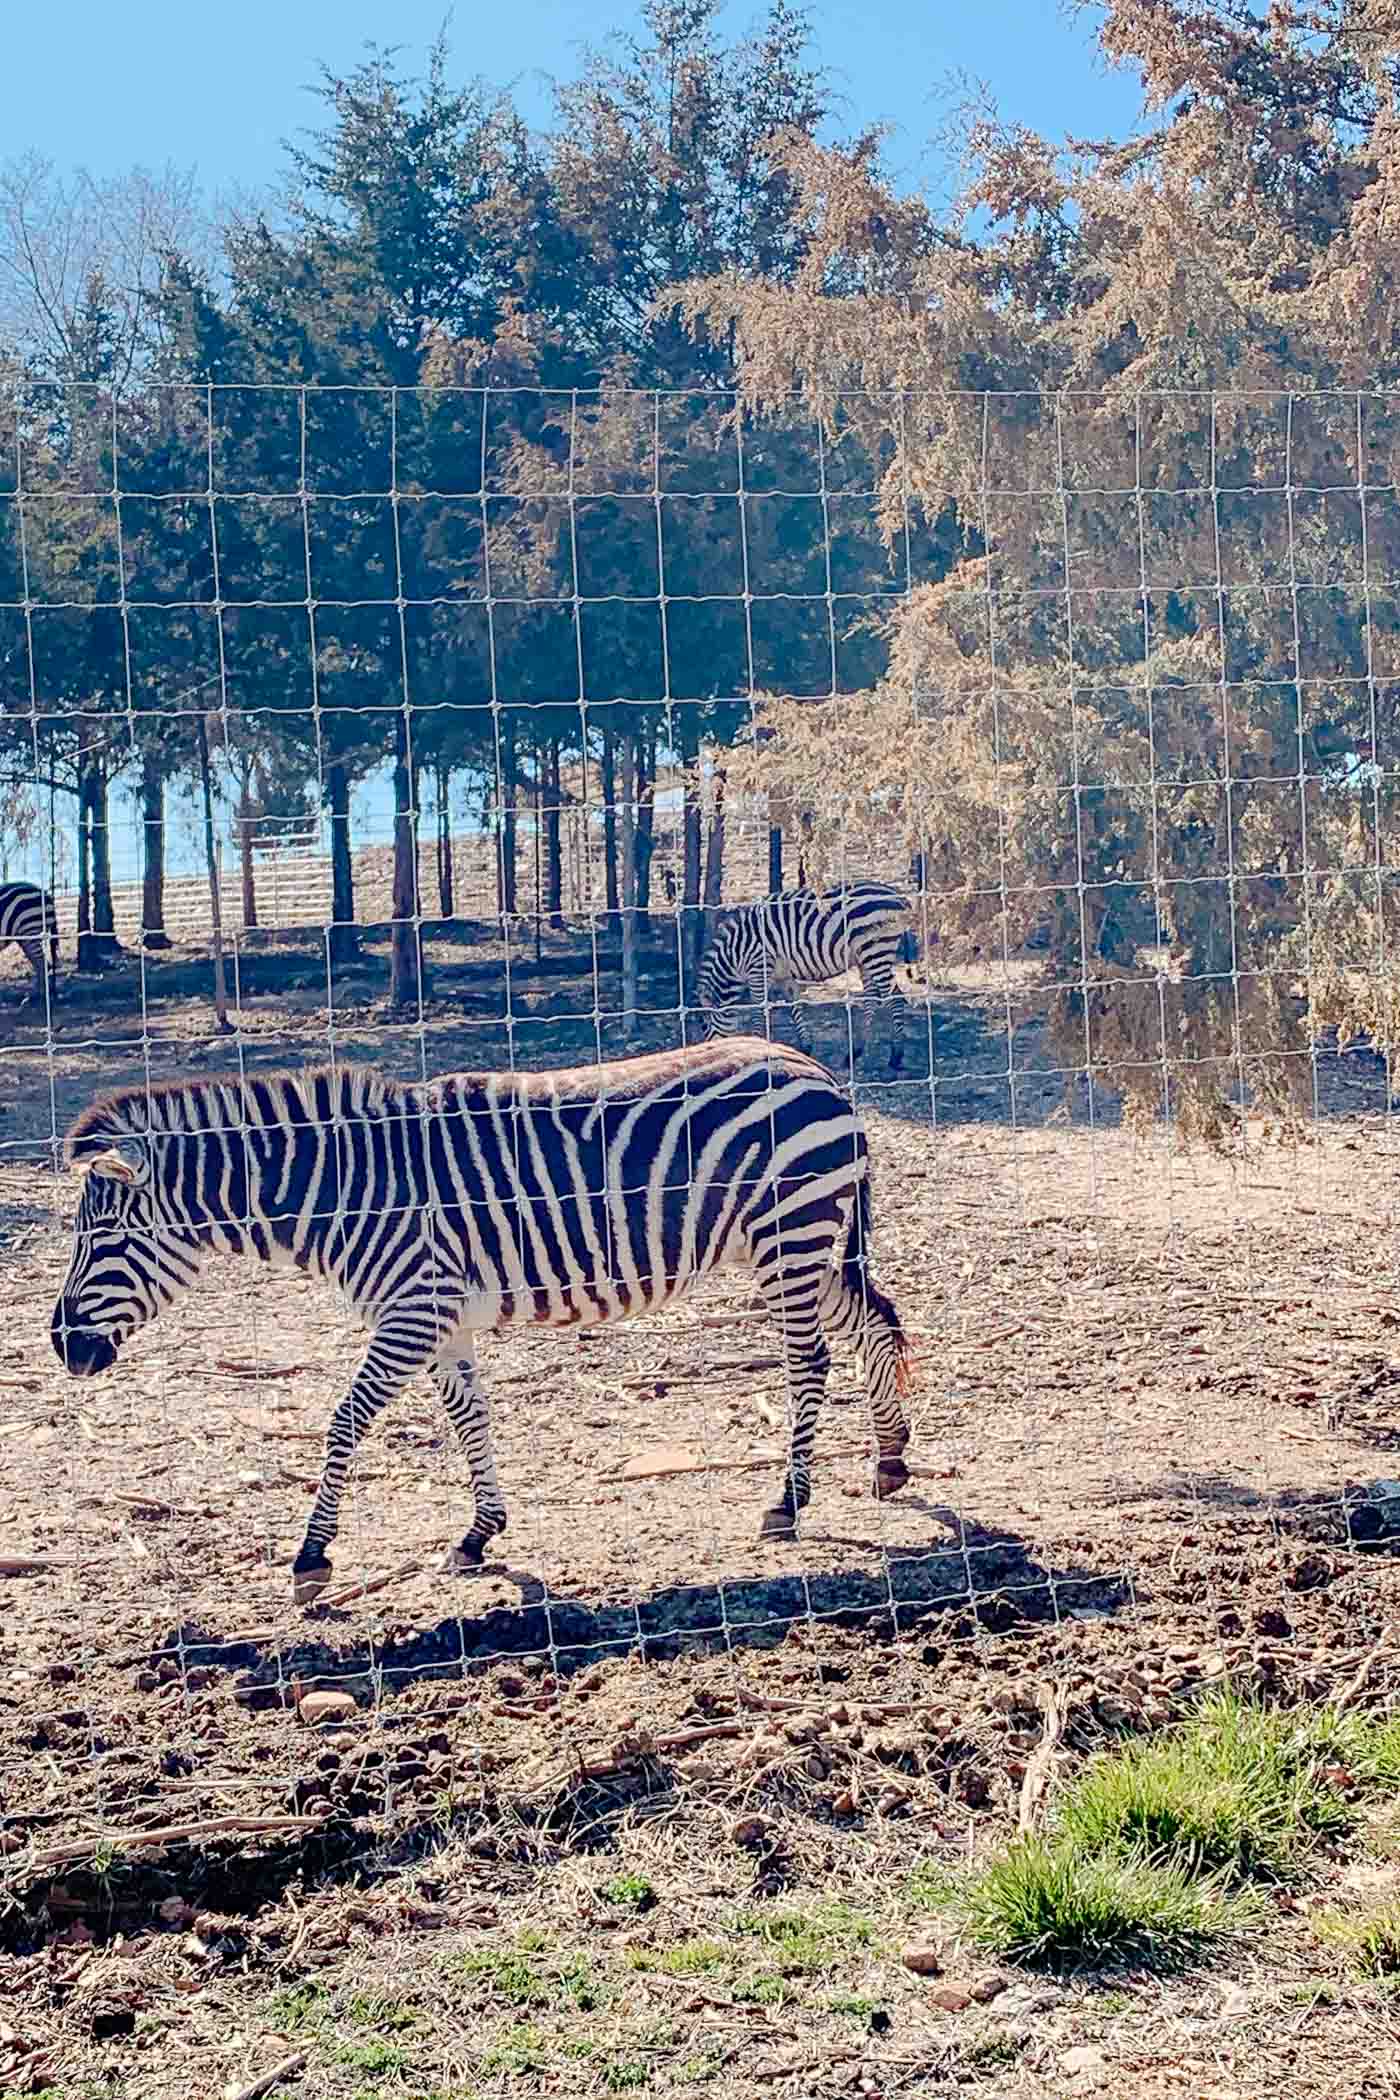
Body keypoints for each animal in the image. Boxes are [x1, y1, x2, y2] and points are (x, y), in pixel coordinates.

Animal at [49, 1041, 915, 1595]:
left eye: (103, 1239)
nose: (60, 1347)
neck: (343, 1189)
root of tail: (815, 1069)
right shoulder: (439, 1319)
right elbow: (470, 1417)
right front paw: (478, 1533)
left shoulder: (410, 1312)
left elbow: (344, 1421)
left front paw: (312, 1555)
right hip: (797, 1243)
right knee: (876, 1321)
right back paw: (891, 1460)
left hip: (789, 1238)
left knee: (810, 1360)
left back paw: (789, 1503)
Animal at [701, 886, 919, 1083]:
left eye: (704, 1026)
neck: (734, 956)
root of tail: (895, 894)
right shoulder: (783, 975)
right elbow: (794, 1003)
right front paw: (806, 1046)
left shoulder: (758, 969)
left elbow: (758, 1010)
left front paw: (757, 1044)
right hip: (865, 957)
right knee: (871, 999)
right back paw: (854, 1052)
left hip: (875, 950)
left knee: (896, 997)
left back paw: (895, 1056)